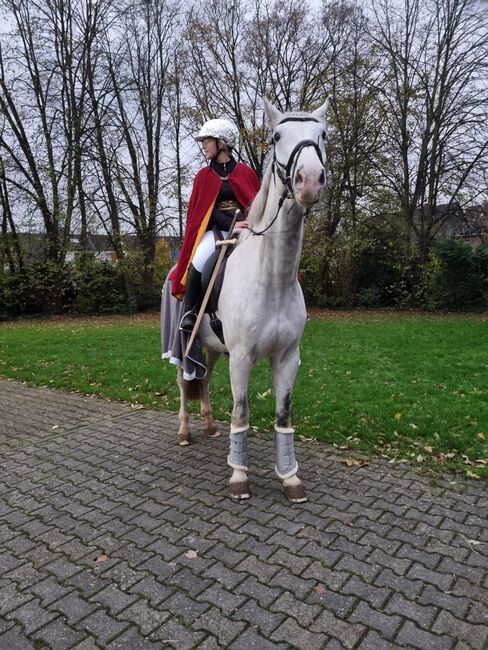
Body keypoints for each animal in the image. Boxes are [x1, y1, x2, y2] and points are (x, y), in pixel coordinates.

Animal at [167, 97, 328, 502]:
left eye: (322, 134)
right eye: (276, 136)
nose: (309, 180)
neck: (271, 279)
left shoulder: (287, 359)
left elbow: (283, 417)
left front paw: (289, 478)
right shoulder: (240, 359)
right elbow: (241, 414)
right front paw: (239, 477)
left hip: (209, 348)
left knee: (204, 379)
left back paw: (210, 425)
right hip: (183, 344)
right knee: (184, 383)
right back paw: (185, 430)